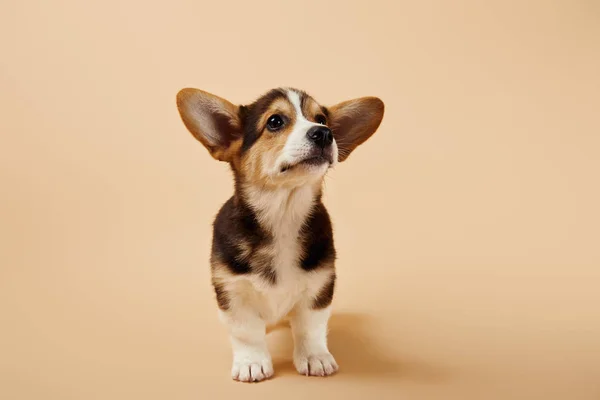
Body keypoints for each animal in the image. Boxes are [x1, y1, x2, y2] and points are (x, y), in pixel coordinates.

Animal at [176, 87, 382, 382]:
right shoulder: (232, 291)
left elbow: (310, 327)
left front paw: (315, 358)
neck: (283, 214)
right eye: (275, 121)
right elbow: (246, 332)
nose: (324, 133)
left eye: (322, 119)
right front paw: (252, 363)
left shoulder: (319, 287)